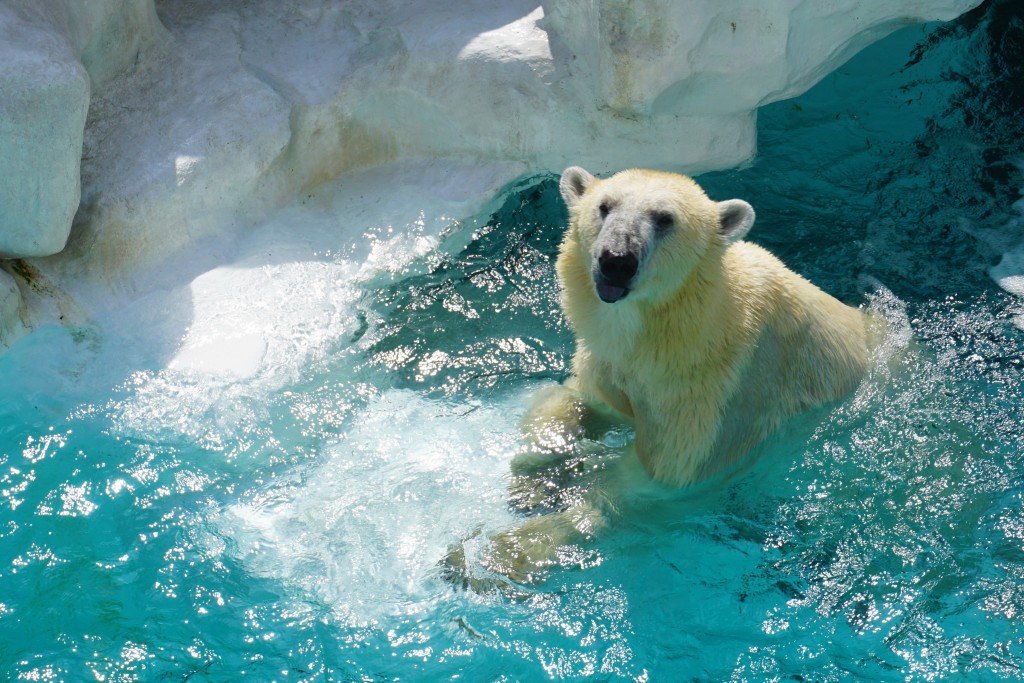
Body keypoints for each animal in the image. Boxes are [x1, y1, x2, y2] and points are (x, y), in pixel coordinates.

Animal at [442, 166, 872, 589]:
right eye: (604, 206)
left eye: (665, 219)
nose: (616, 260)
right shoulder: (611, 363)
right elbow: (580, 401)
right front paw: (536, 479)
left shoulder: (715, 396)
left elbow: (651, 486)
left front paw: (504, 552)